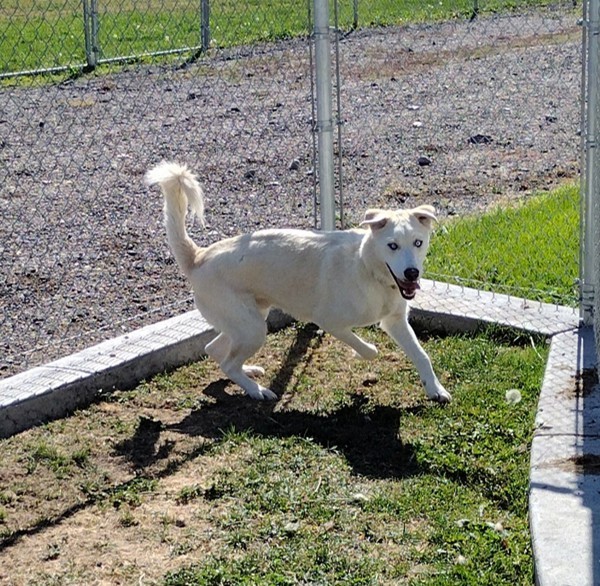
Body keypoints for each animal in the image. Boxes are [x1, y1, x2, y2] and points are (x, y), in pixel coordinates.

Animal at [145, 162, 450, 404]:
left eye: (418, 243)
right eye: (392, 245)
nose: (412, 273)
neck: (368, 269)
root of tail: (198, 256)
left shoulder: (395, 321)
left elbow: (422, 355)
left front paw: (435, 390)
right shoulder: (330, 322)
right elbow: (368, 349)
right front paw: (361, 354)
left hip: (249, 320)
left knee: (216, 351)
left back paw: (248, 372)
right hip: (252, 327)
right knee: (229, 362)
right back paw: (256, 390)